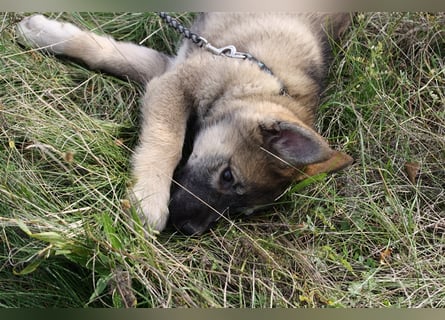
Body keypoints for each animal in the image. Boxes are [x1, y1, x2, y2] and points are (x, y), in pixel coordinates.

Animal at [17, 12, 352, 235]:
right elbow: (168, 140)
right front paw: (150, 197)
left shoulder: (167, 70)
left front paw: (43, 32)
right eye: (228, 176)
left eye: (240, 211)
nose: (187, 229)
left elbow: (111, 54)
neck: (264, 77)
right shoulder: (176, 83)